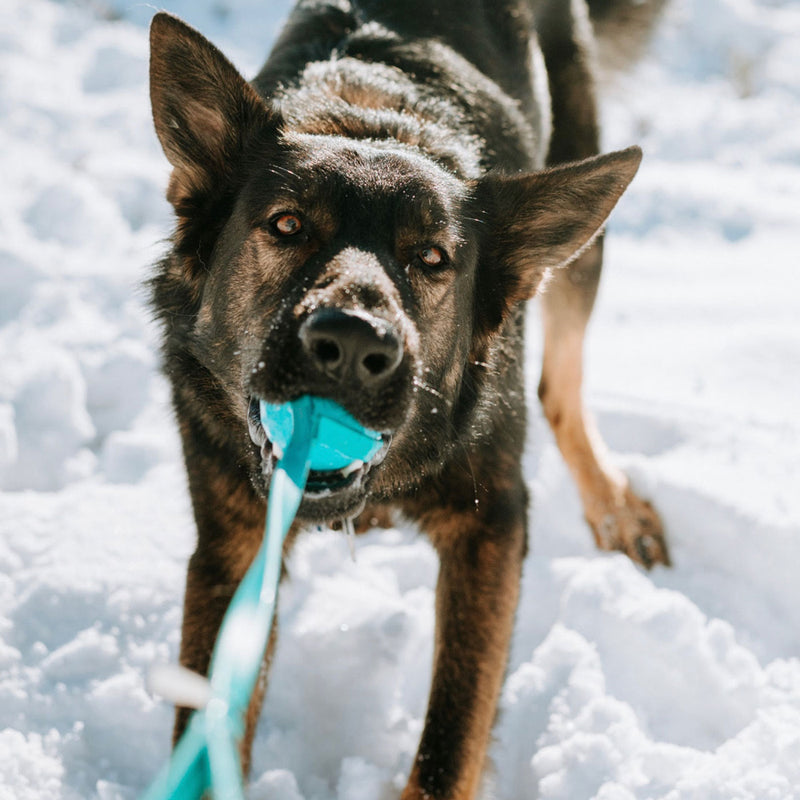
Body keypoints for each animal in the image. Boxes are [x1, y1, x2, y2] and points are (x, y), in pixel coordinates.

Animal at [148, 3, 668, 796]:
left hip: (580, 232)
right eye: (287, 225)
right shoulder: (233, 548)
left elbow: (452, 740)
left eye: (431, 258)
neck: (373, 121)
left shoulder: (492, 527)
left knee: (561, 384)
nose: (351, 344)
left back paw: (614, 505)